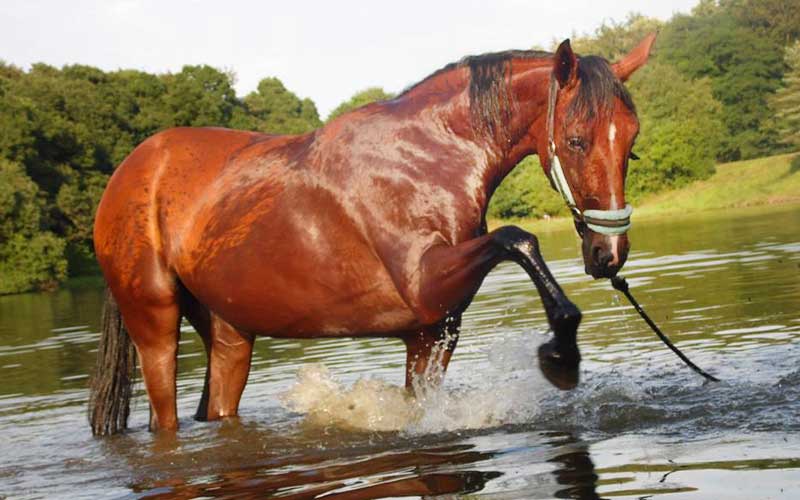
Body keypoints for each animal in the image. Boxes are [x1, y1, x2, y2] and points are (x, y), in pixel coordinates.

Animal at [89, 34, 656, 435]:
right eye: (577, 140)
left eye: (632, 143)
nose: (608, 252)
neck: (429, 157)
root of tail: (131, 171)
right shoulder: (426, 285)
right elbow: (518, 239)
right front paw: (561, 352)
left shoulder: (431, 332)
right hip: (156, 326)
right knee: (166, 419)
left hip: (230, 335)